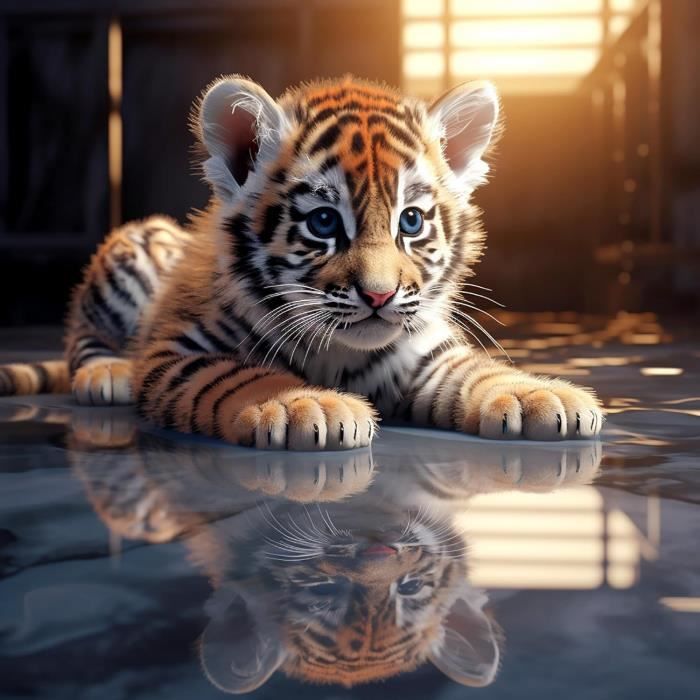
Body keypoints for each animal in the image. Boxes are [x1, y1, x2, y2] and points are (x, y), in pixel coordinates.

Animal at [0, 74, 604, 449]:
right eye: (324, 223)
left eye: (411, 222)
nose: (380, 296)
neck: (339, 351)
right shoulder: (181, 352)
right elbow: (241, 377)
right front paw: (305, 407)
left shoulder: (425, 356)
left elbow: (475, 371)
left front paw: (541, 394)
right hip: (132, 251)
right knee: (82, 333)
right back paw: (107, 373)